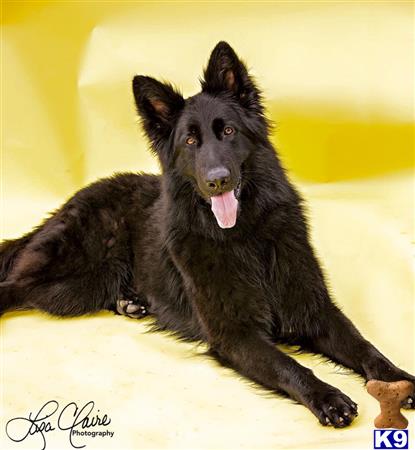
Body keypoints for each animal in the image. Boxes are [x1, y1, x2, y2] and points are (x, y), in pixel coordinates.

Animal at [0, 41, 415, 426]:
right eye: (190, 141)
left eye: (228, 131)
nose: (218, 181)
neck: (246, 237)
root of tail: (73, 198)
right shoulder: (235, 335)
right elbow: (290, 366)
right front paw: (328, 397)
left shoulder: (314, 309)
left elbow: (362, 345)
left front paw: (398, 380)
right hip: (75, 269)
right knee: (15, 285)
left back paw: (130, 302)